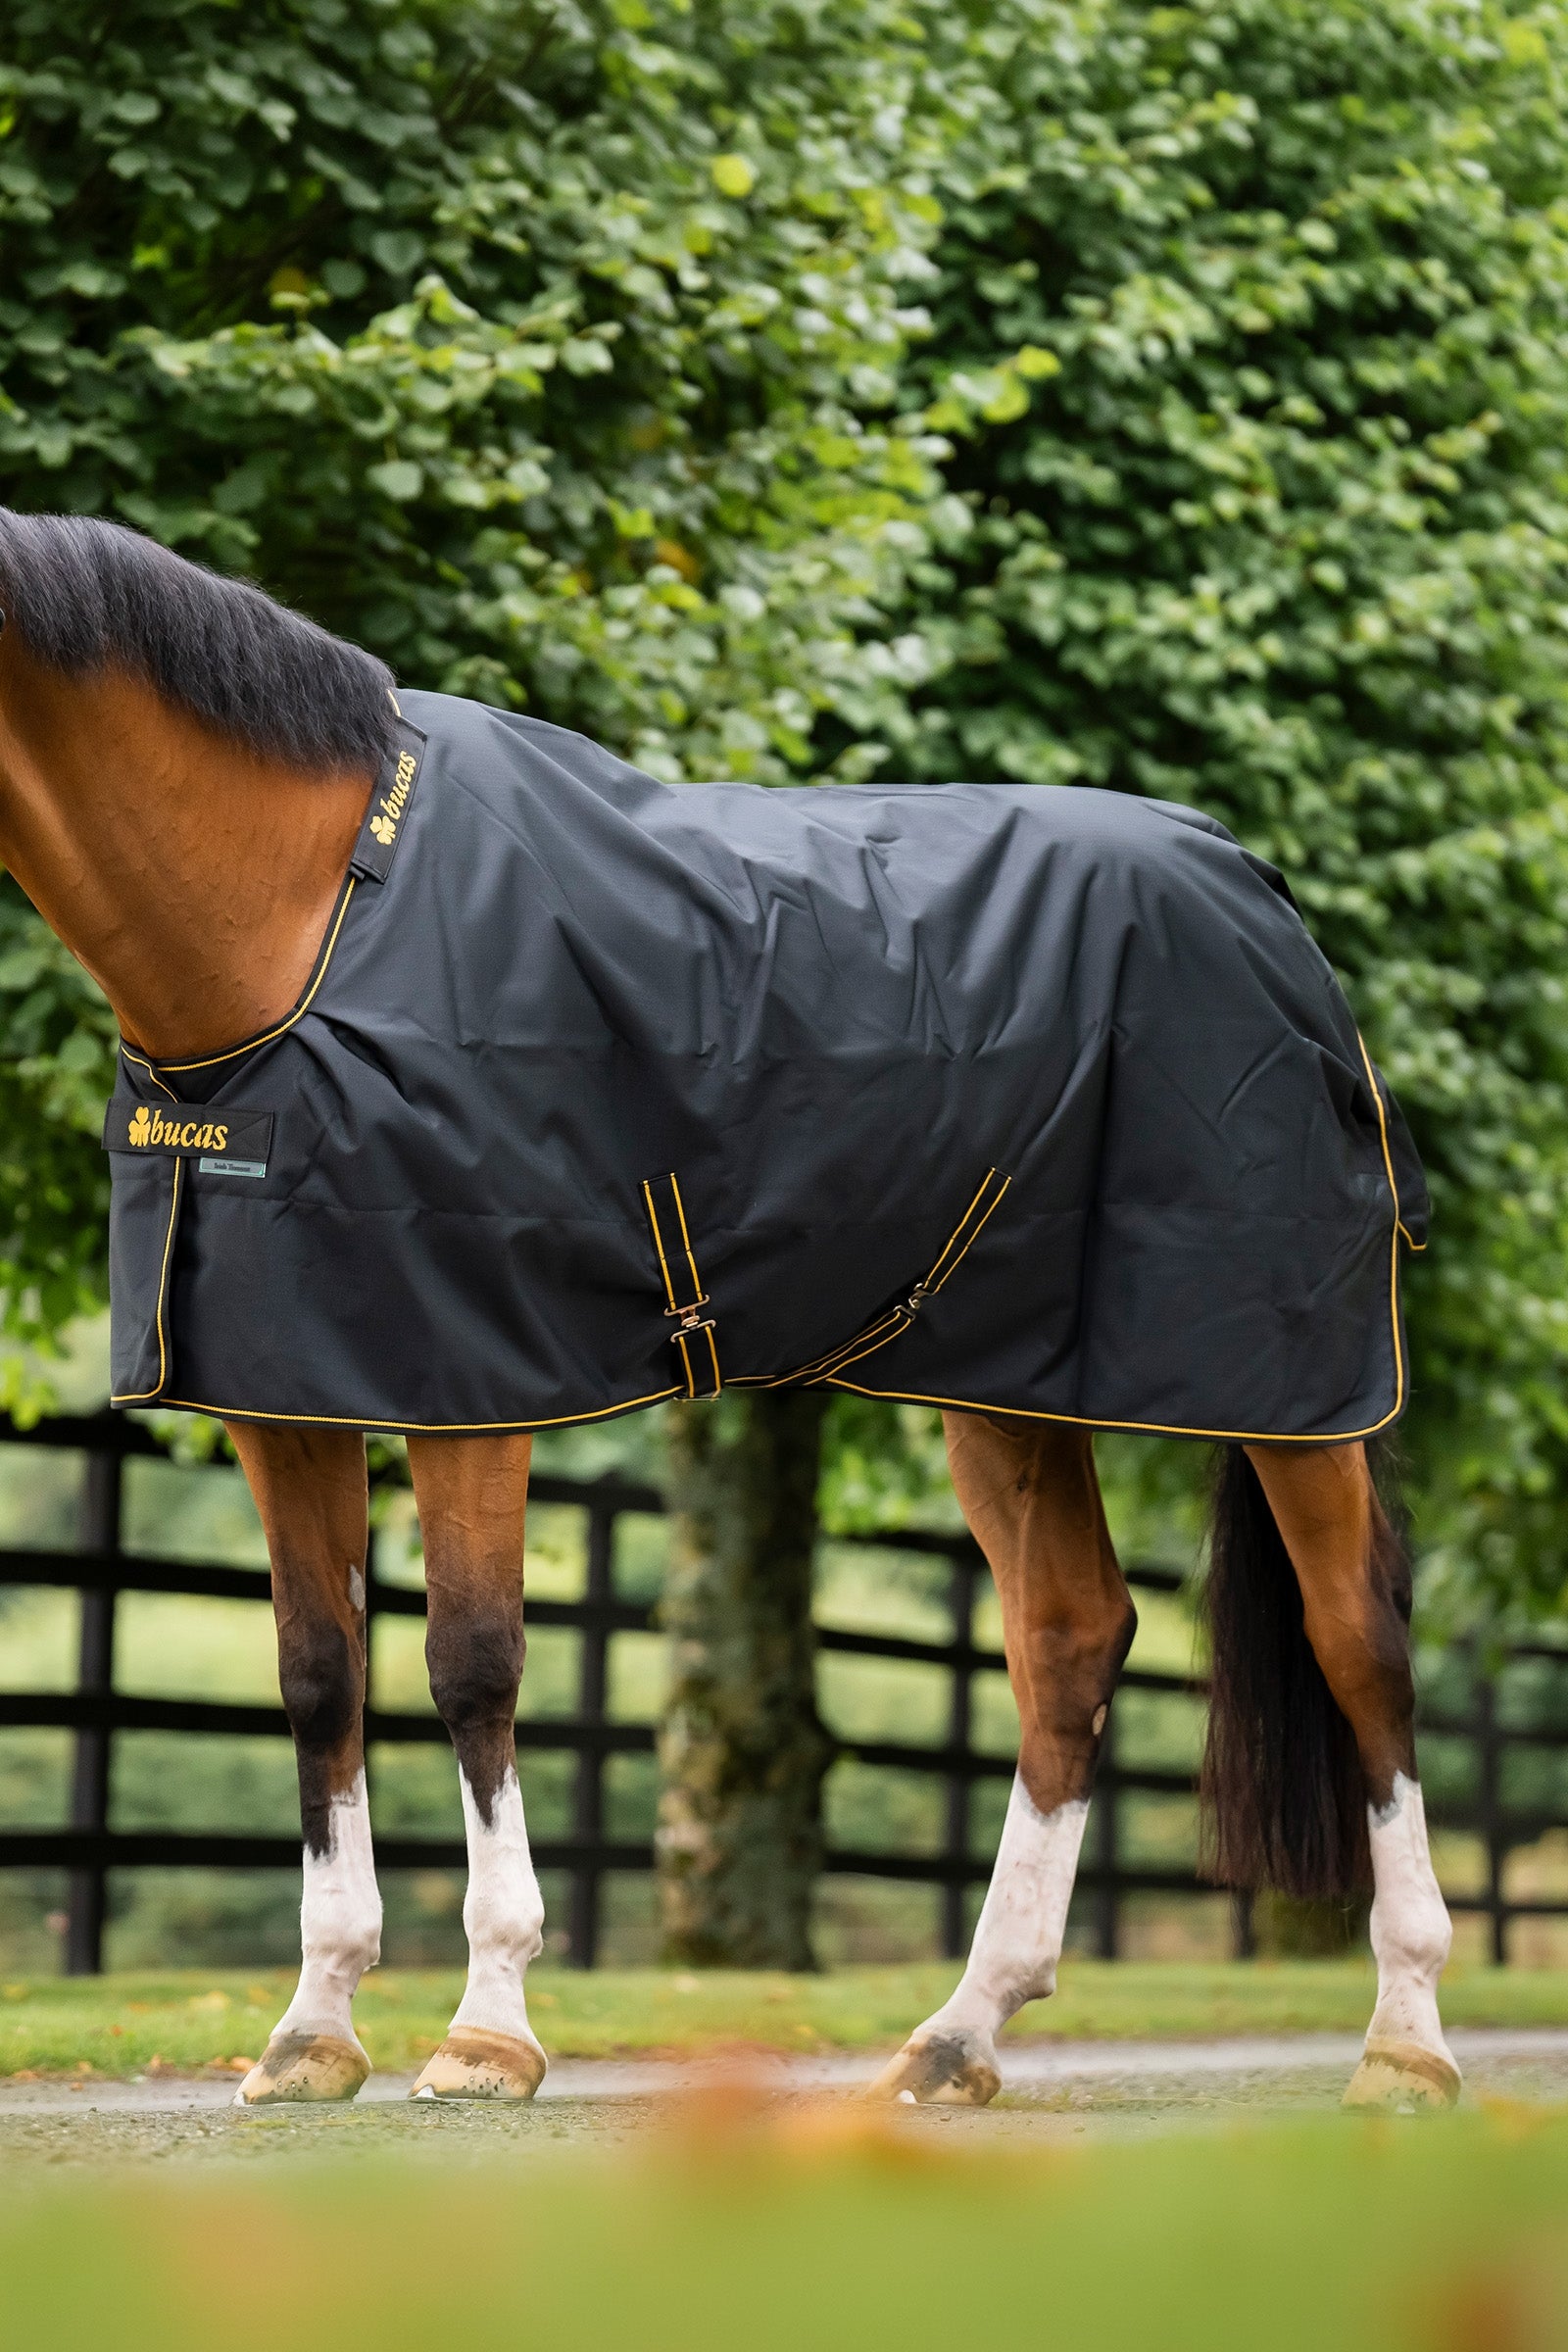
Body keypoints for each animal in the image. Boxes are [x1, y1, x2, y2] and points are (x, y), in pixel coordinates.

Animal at [0, 509, 1458, 2114]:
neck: (315, 916)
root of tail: (1257, 891)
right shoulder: (286, 1393)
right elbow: (321, 1680)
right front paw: (312, 2033)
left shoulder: (483, 1383)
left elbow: (472, 1665)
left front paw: (488, 2030)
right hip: (1007, 1387)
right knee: (1069, 1638)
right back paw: (962, 2033)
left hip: (1290, 1382)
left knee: (1359, 1644)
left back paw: (1407, 2042)